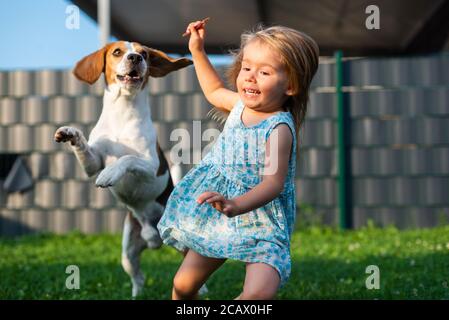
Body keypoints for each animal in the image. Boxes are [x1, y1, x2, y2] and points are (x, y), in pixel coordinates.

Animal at [53, 40, 191, 298]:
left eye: (144, 53)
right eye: (117, 52)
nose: (136, 58)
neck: (123, 112)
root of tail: (152, 236)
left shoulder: (150, 167)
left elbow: (127, 159)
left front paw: (110, 173)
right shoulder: (92, 163)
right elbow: (85, 149)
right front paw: (71, 134)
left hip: (181, 242)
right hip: (128, 252)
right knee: (139, 276)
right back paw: (137, 294)